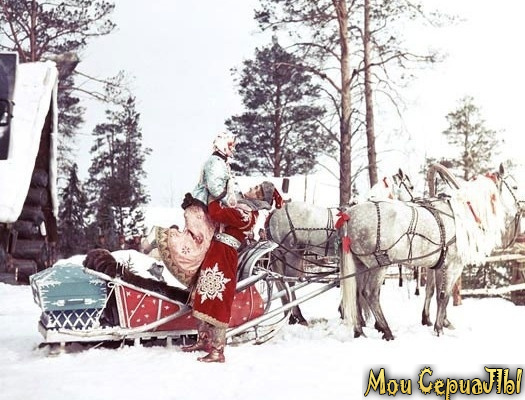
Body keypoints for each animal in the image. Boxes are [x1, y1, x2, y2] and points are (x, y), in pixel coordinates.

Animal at [266, 169, 414, 325]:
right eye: (411, 187)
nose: (415, 199)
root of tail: (275, 213)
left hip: (282, 254)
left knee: (280, 282)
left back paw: (290, 316)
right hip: (292, 253)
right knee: (290, 281)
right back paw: (298, 316)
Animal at [338, 165, 522, 340]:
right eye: (515, 186)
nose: (522, 206)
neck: (462, 215)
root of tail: (349, 215)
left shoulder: (439, 265)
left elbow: (436, 294)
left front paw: (435, 322)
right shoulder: (454, 266)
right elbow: (444, 296)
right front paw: (439, 328)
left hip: (360, 264)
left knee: (355, 295)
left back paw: (359, 331)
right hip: (378, 265)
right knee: (370, 294)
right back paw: (387, 331)